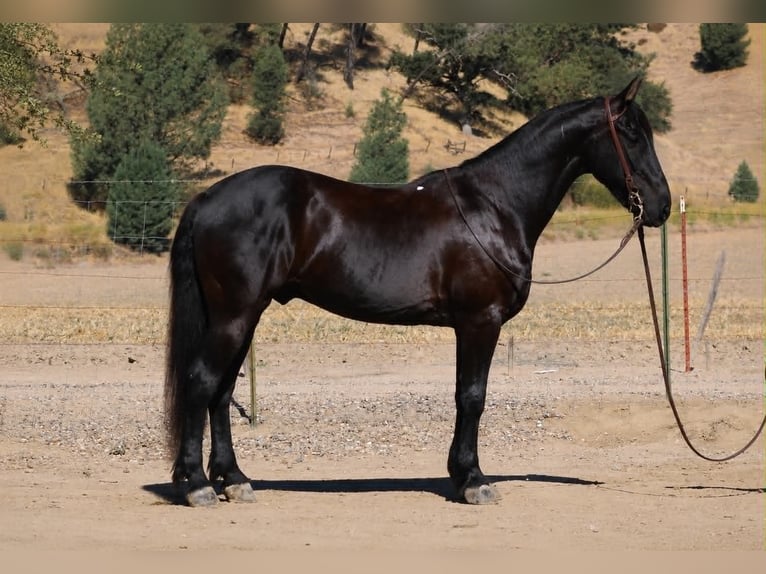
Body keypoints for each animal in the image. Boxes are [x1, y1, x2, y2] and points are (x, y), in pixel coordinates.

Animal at [164, 77, 671, 507]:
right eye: (630, 133)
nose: (662, 206)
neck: (494, 205)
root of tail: (205, 199)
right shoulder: (480, 321)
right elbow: (473, 396)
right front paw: (474, 481)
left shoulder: (469, 326)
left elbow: (464, 395)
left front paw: (461, 475)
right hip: (235, 315)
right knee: (201, 382)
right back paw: (197, 486)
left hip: (242, 316)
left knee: (222, 391)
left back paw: (234, 480)